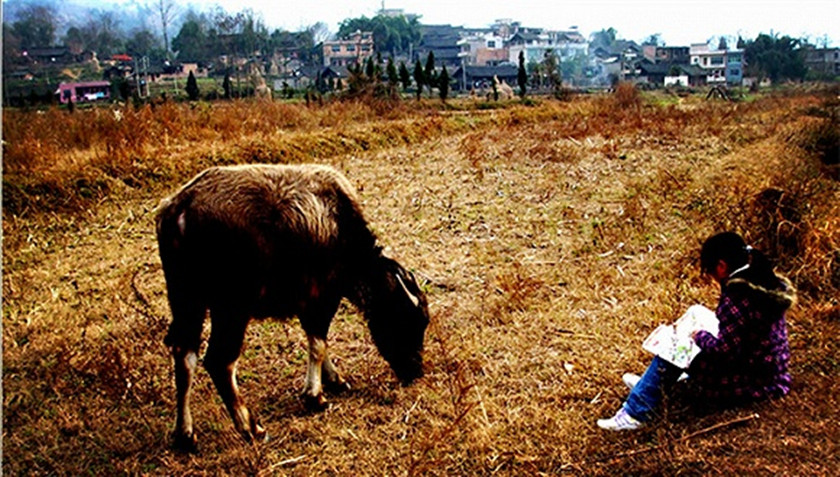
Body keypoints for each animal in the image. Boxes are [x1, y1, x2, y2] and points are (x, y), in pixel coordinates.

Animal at [157, 163, 430, 446]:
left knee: (184, 355)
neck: (339, 226)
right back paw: (251, 427)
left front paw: (334, 380)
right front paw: (315, 396)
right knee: (220, 362)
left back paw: (185, 434)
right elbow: (318, 345)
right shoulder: (321, 300)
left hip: (186, 302)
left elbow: (318, 343)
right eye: (408, 321)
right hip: (230, 311)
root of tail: (180, 208)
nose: (415, 370)